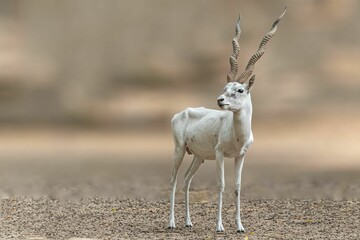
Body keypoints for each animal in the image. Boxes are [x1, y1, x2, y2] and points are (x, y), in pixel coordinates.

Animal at [168, 7, 286, 232]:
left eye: (240, 90)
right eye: (225, 88)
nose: (220, 100)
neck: (237, 134)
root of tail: (181, 112)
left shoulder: (241, 156)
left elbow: (238, 187)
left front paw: (240, 226)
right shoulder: (220, 153)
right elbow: (221, 185)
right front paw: (219, 226)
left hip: (198, 156)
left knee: (187, 180)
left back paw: (188, 222)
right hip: (179, 150)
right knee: (173, 180)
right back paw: (171, 223)